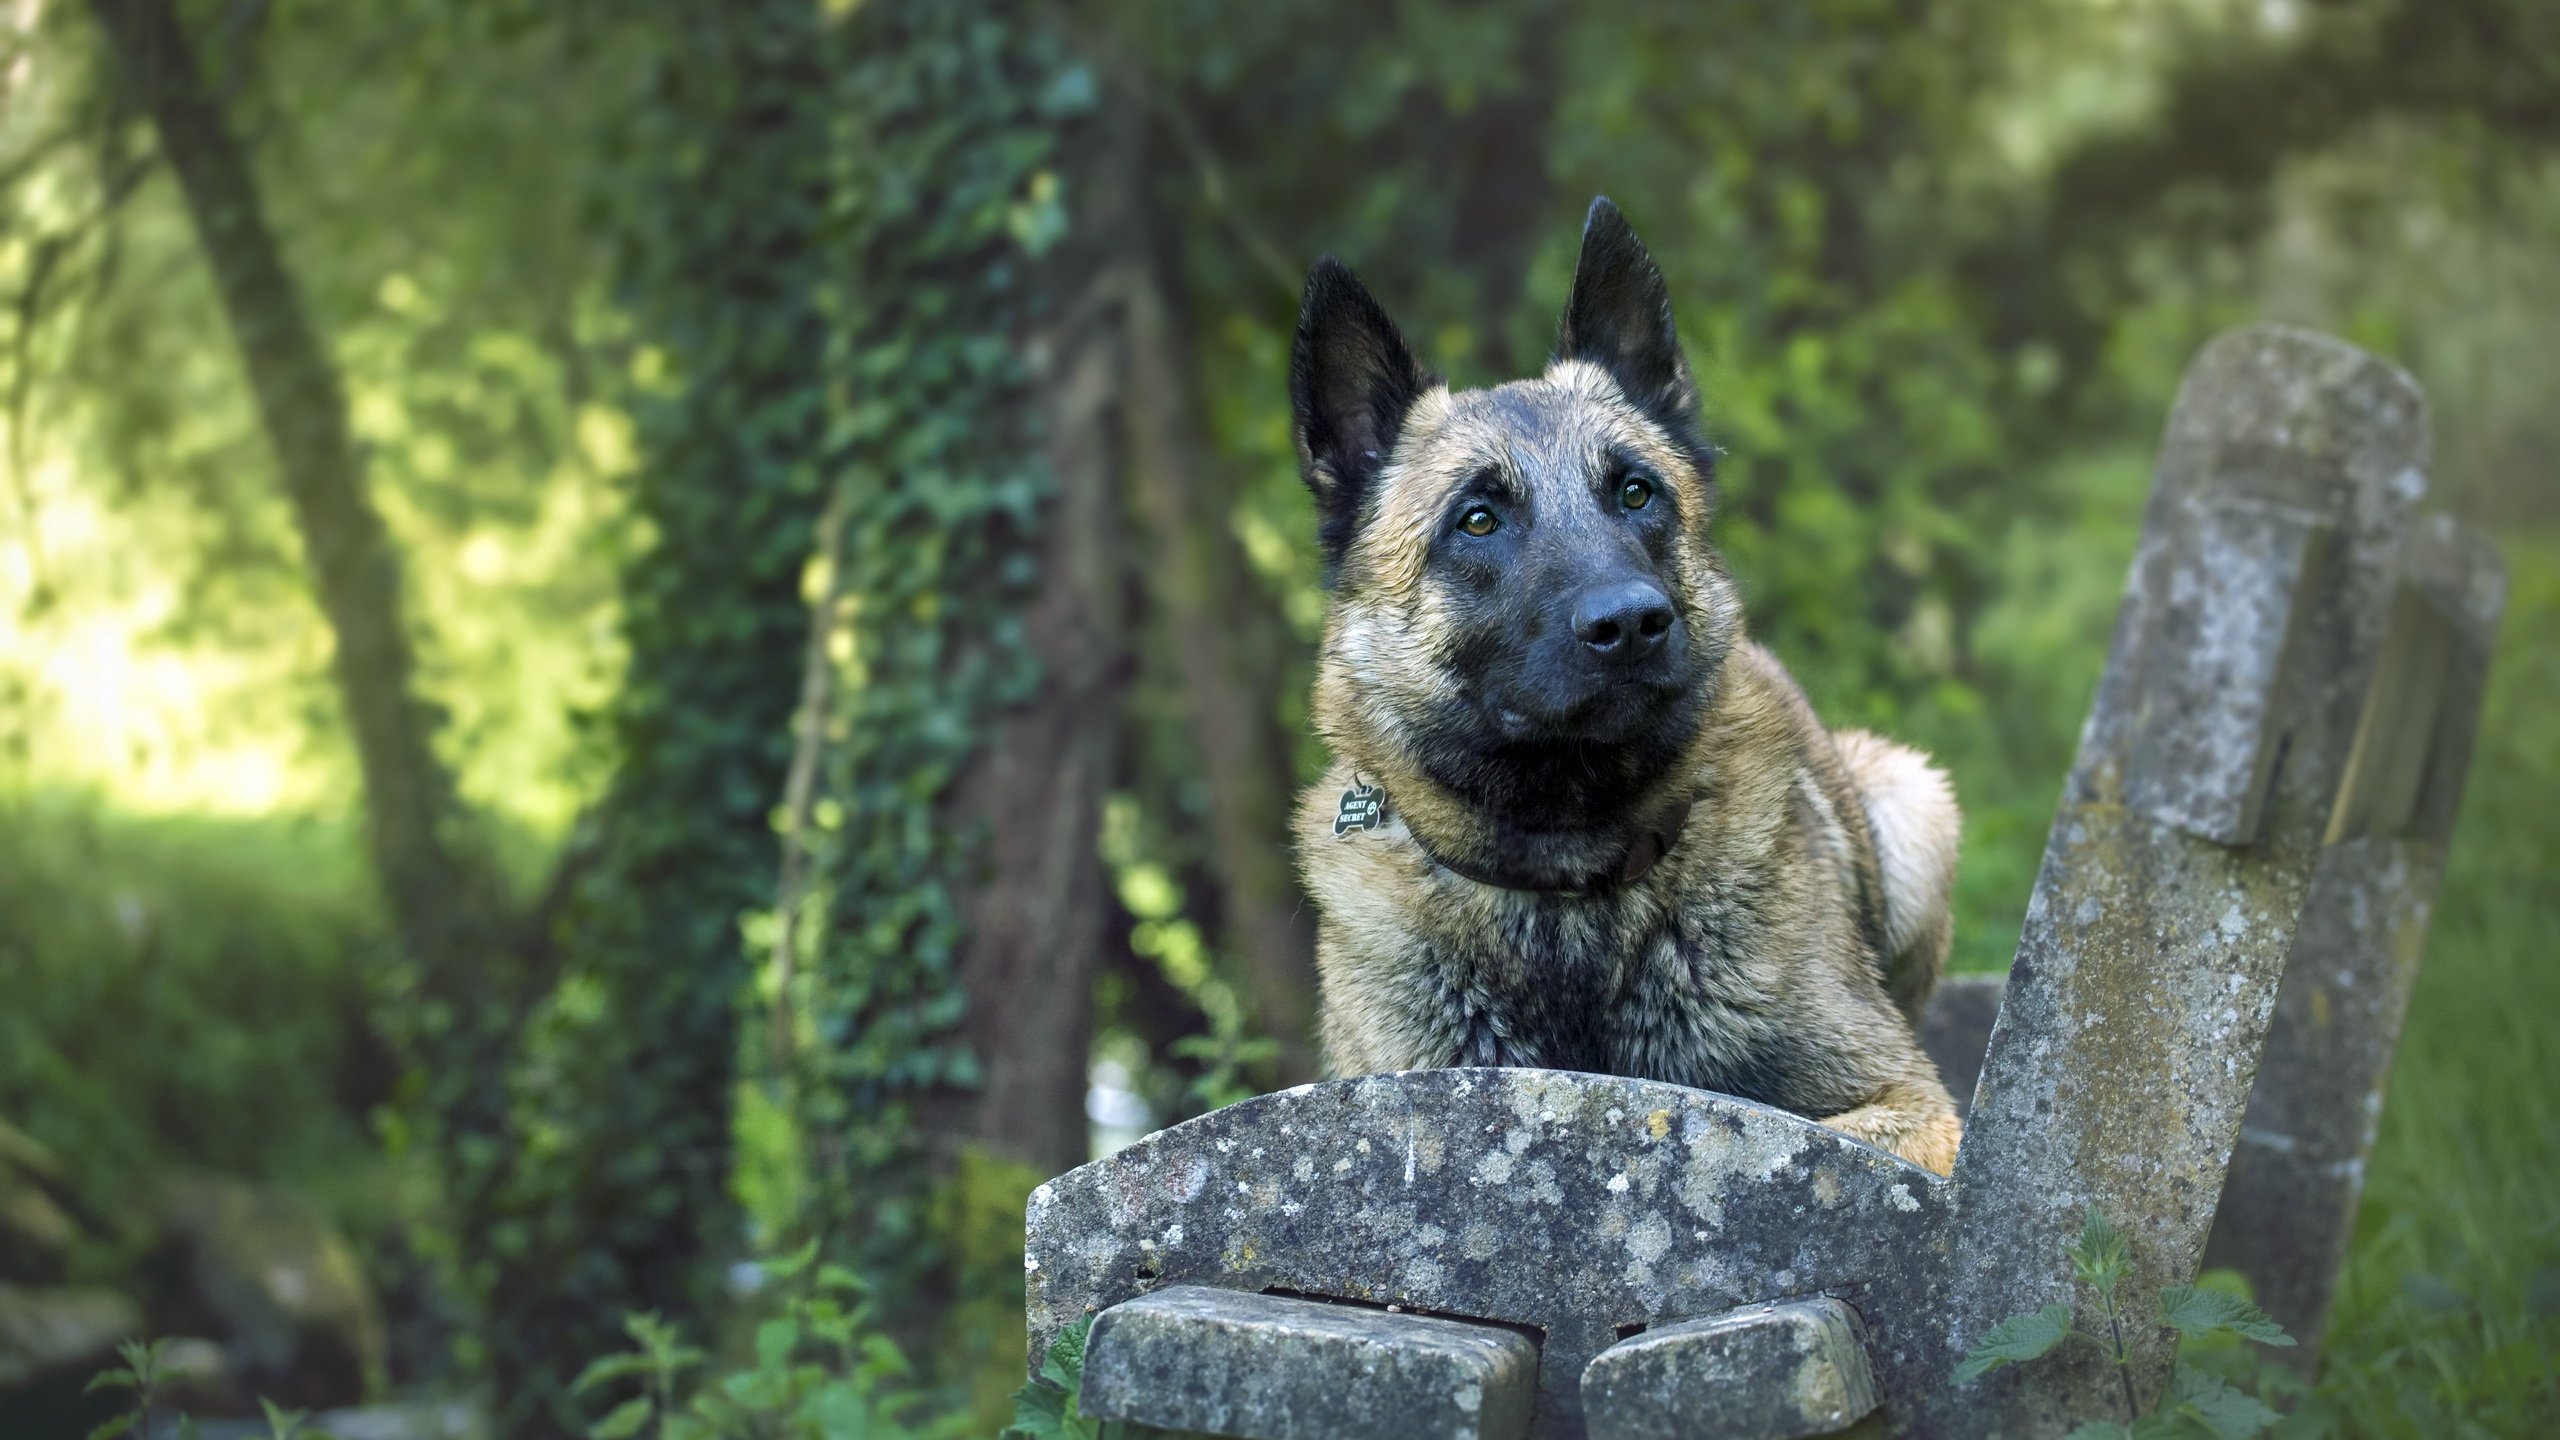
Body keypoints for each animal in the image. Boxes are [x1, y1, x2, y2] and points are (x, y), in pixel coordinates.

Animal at [1290, 196, 1966, 1173]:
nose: (1635, 624)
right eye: (1478, 520)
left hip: (1915, 801)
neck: (1568, 882)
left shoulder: (1907, 1104)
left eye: (1637, 493)